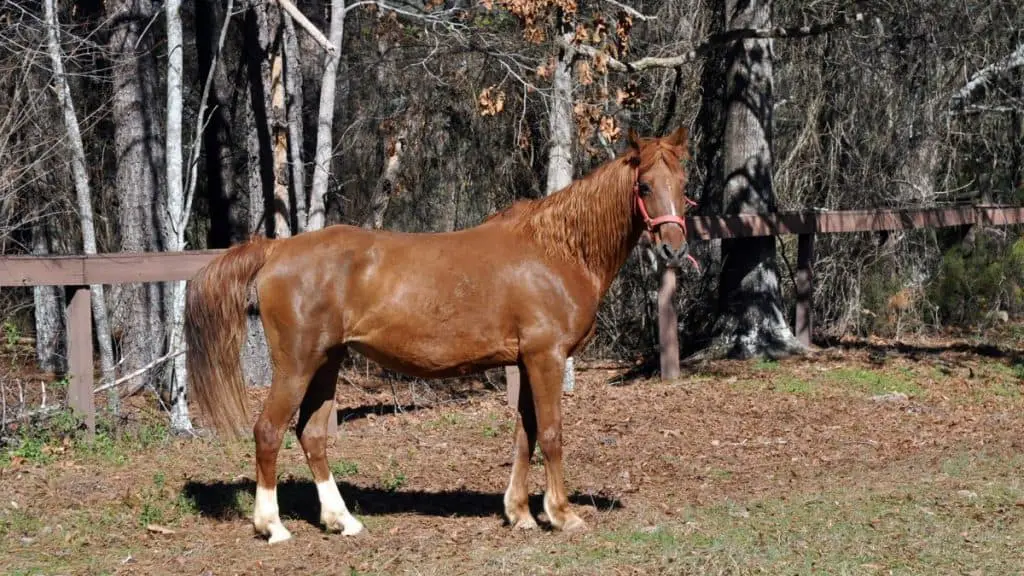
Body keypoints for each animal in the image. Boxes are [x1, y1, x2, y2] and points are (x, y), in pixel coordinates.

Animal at [182, 123, 696, 541]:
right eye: (644, 185)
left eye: (683, 184)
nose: (674, 249)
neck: (557, 250)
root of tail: (276, 250)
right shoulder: (545, 357)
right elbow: (550, 433)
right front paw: (562, 514)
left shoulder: (525, 361)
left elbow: (524, 434)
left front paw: (519, 513)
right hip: (296, 364)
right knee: (268, 431)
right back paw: (272, 526)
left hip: (327, 361)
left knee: (311, 434)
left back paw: (342, 520)